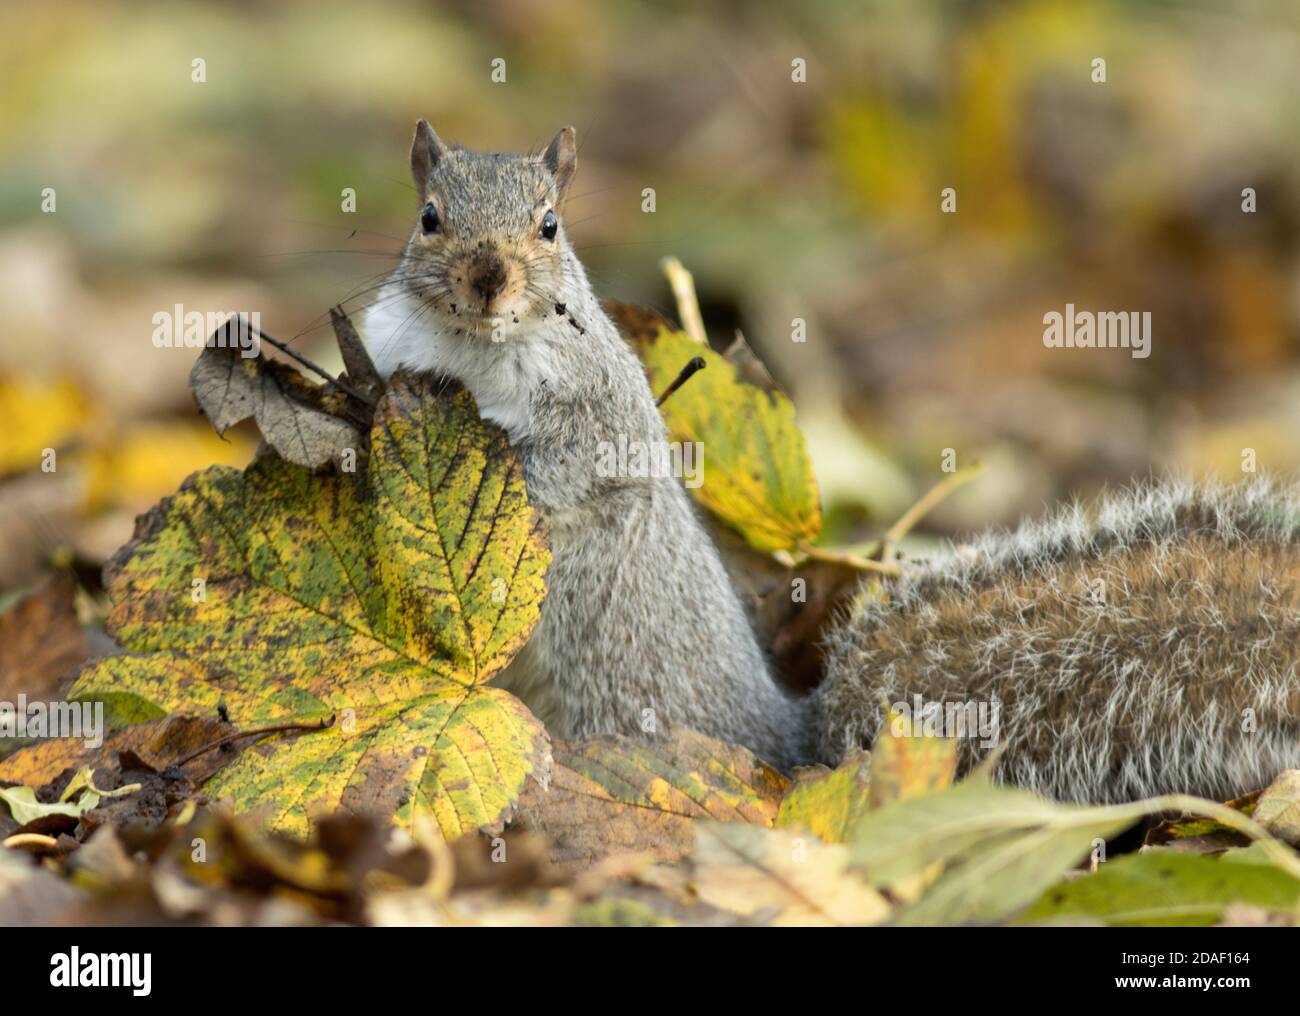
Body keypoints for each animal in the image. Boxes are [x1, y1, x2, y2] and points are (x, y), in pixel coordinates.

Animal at [361, 123, 1300, 805]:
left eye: (550, 224)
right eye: (429, 218)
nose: (489, 277)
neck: (476, 352)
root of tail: (788, 745)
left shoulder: (599, 411)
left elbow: (573, 469)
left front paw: (505, 473)